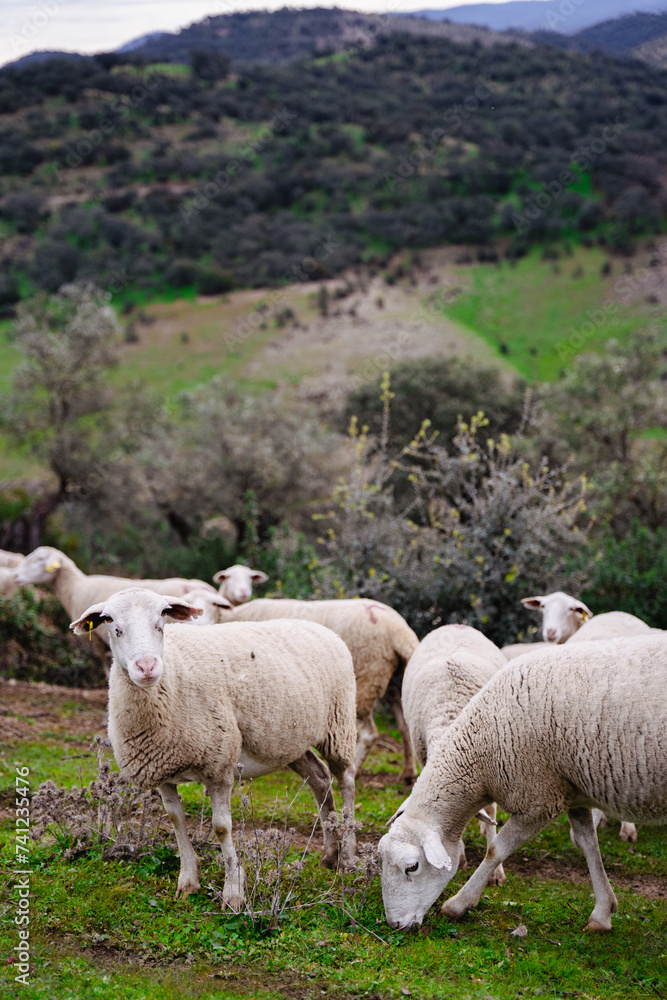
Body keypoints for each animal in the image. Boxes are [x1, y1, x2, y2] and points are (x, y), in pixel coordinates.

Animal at [70, 588, 358, 909]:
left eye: (163, 615)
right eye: (109, 620)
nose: (146, 667)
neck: (172, 680)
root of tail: (321, 628)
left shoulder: (218, 766)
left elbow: (222, 827)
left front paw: (233, 893)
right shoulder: (162, 770)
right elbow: (176, 820)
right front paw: (188, 882)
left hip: (339, 724)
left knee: (346, 780)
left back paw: (348, 854)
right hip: (289, 741)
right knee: (320, 778)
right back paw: (330, 854)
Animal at [191, 594, 420, 785]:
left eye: (212, 605)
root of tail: (401, 632)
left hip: (366, 678)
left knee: (369, 733)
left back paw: (357, 770)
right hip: (395, 683)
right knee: (404, 726)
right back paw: (408, 774)